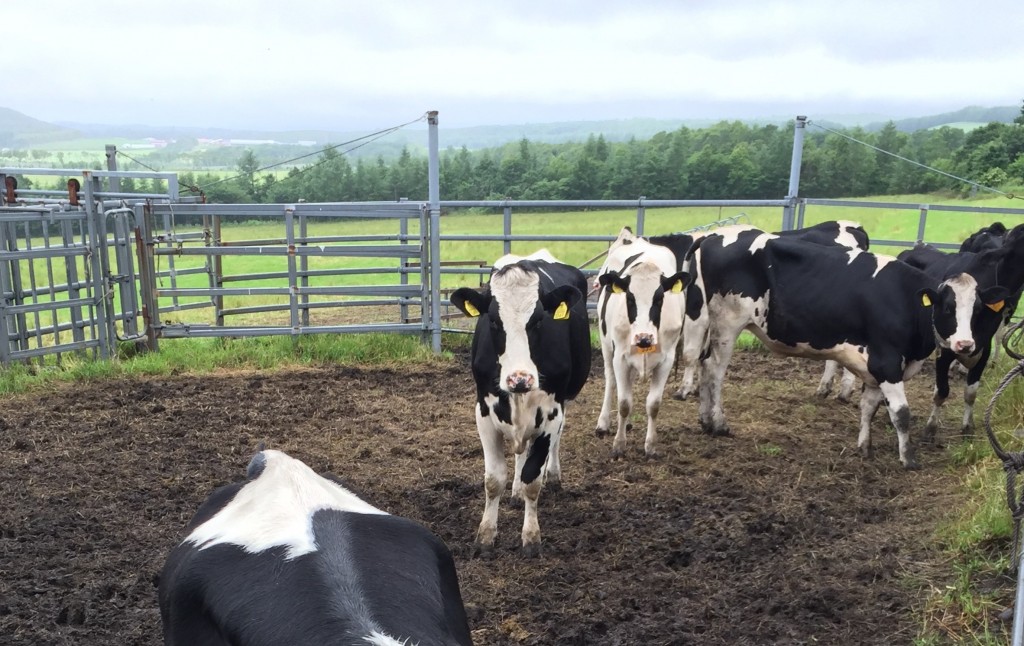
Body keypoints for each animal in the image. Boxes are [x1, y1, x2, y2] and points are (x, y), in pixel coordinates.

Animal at [448, 249, 593, 556]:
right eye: (493, 321)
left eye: (538, 320)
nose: (520, 379)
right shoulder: (484, 412)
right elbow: (493, 480)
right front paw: (486, 535)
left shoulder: (551, 413)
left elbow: (532, 479)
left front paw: (531, 537)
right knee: (519, 450)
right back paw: (514, 491)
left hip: (563, 402)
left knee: (554, 442)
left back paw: (554, 475)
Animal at [598, 227, 692, 460]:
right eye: (630, 298)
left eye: (659, 298)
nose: (644, 338)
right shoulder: (620, 358)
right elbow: (624, 403)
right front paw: (619, 445)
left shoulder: (667, 360)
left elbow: (653, 404)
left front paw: (650, 446)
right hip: (606, 347)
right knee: (611, 381)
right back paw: (603, 423)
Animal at [688, 227, 991, 470]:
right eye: (948, 308)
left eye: (977, 310)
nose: (966, 344)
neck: (905, 300)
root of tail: (714, 235)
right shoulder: (887, 362)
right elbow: (901, 413)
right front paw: (908, 458)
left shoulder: (874, 366)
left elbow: (869, 407)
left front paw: (865, 447)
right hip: (728, 324)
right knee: (715, 371)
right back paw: (719, 423)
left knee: (704, 365)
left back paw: (704, 420)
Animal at [897, 222, 1024, 440]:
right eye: (947, 308)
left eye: (978, 308)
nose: (964, 344)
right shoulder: (944, 349)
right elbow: (941, 391)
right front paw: (931, 428)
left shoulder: (983, 347)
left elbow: (971, 392)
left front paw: (968, 427)